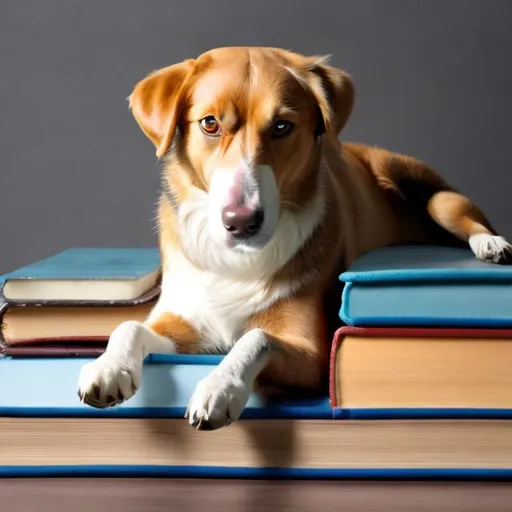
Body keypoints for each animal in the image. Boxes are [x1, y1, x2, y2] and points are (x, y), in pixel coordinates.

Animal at [76, 48, 512, 430]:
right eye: (209, 124)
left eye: (282, 126)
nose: (241, 222)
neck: (237, 262)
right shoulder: (185, 325)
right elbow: (128, 326)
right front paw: (108, 368)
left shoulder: (311, 355)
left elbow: (256, 337)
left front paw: (219, 388)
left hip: (432, 194)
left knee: (464, 217)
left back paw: (491, 245)